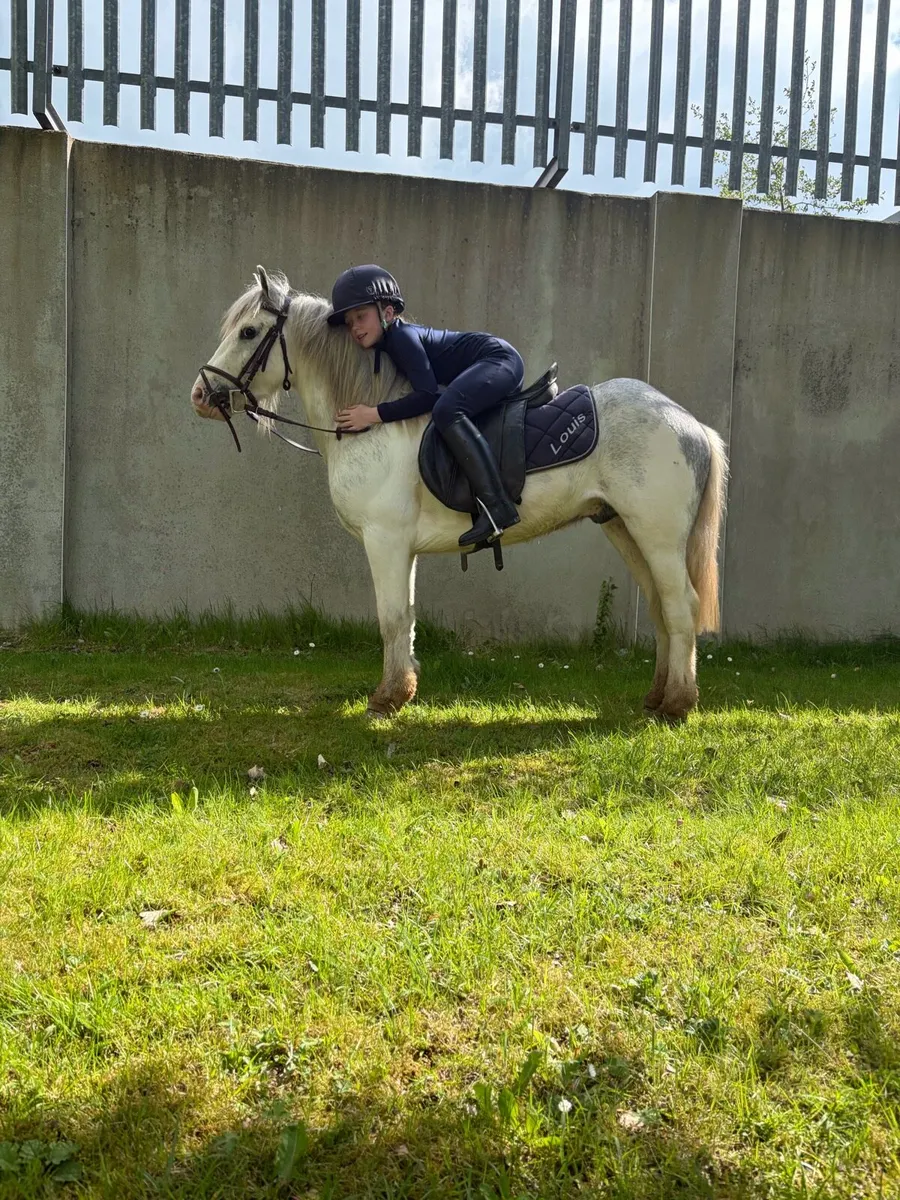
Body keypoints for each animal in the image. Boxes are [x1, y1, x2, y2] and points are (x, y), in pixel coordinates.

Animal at [191, 268, 728, 723]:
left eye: (248, 332)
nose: (200, 395)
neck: (373, 425)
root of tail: (686, 421)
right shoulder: (401, 549)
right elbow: (406, 617)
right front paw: (402, 690)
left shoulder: (384, 541)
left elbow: (391, 618)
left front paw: (386, 699)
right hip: (623, 529)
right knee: (661, 608)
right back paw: (657, 697)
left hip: (656, 537)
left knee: (680, 605)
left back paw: (678, 704)